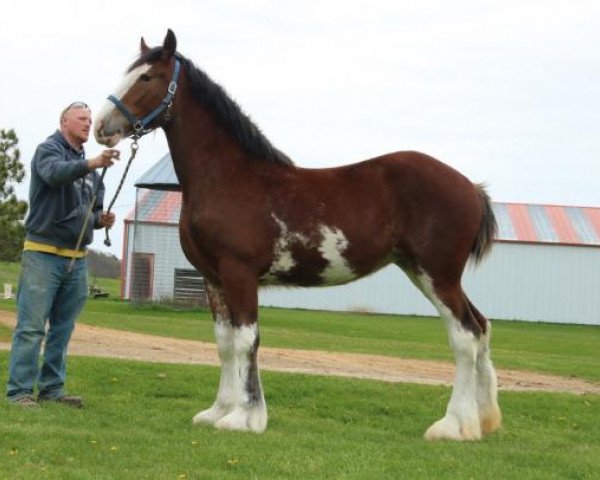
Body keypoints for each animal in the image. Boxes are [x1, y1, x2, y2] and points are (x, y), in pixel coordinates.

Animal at [95, 29, 502, 442]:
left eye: (148, 77)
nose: (101, 127)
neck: (229, 177)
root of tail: (471, 188)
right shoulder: (212, 278)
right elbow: (225, 343)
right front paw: (218, 411)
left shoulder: (239, 274)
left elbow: (246, 341)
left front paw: (244, 417)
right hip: (423, 272)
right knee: (481, 327)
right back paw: (482, 420)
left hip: (437, 275)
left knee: (465, 336)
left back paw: (452, 425)